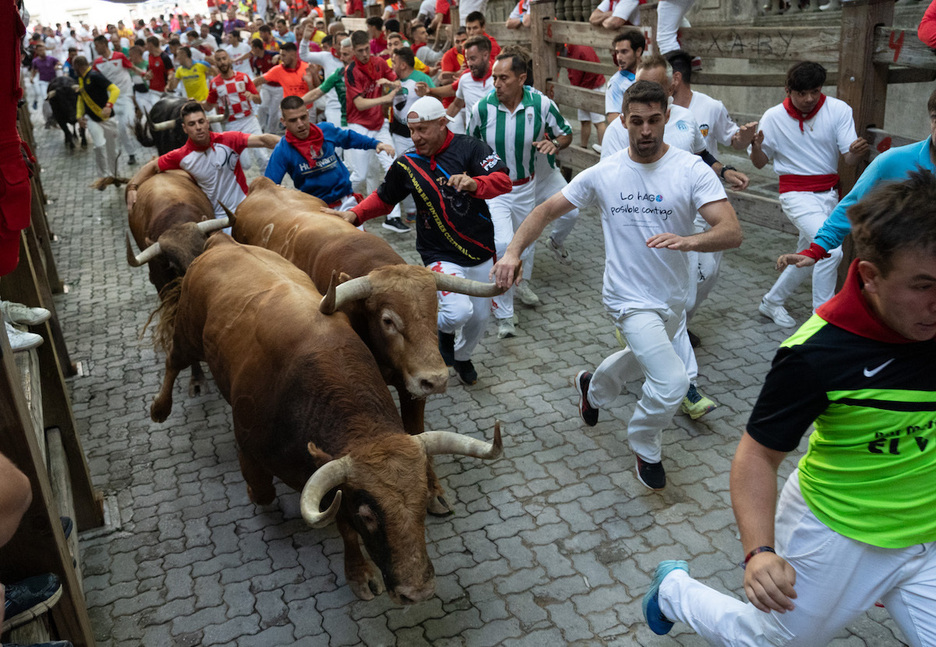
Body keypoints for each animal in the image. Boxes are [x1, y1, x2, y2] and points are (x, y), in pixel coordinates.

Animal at [152, 235, 504, 604]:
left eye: (421, 504)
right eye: (369, 515)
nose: (417, 592)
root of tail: (223, 242)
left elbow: (344, 525)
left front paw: (360, 572)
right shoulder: (248, 448)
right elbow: (263, 492)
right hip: (187, 334)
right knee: (173, 360)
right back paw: (160, 408)